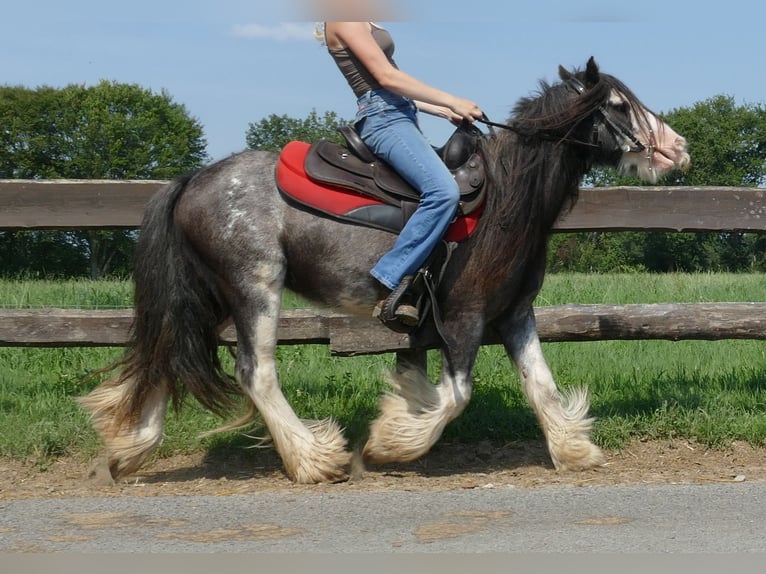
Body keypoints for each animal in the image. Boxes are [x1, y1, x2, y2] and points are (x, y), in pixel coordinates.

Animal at [81, 58, 692, 484]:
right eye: (618, 105)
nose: (679, 147)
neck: (505, 199)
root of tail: (193, 180)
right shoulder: (465, 316)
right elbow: (456, 396)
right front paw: (389, 443)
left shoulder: (515, 313)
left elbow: (540, 385)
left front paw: (574, 450)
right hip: (254, 287)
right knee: (256, 372)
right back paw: (313, 460)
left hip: (207, 295)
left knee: (167, 354)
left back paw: (129, 450)